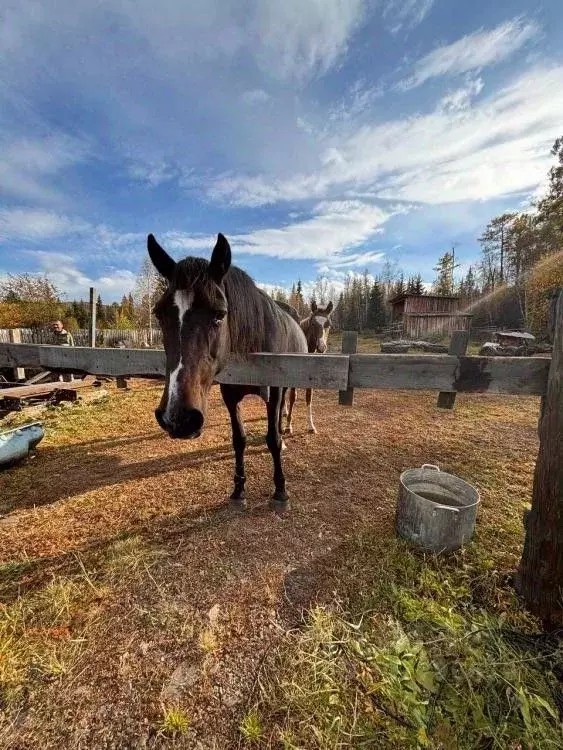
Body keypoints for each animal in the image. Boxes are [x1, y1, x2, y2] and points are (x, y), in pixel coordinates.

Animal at [148, 234, 306, 512]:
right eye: (159, 313)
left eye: (220, 314)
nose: (178, 417)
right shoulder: (230, 396)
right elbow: (239, 439)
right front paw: (238, 490)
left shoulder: (274, 391)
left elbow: (272, 439)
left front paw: (280, 491)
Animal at [286, 302, 334, 434]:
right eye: (313, 323)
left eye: (328, 324)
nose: (322, 347)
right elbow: (293, 397)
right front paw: (288, 426)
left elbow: (309, 397)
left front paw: (311, 426)